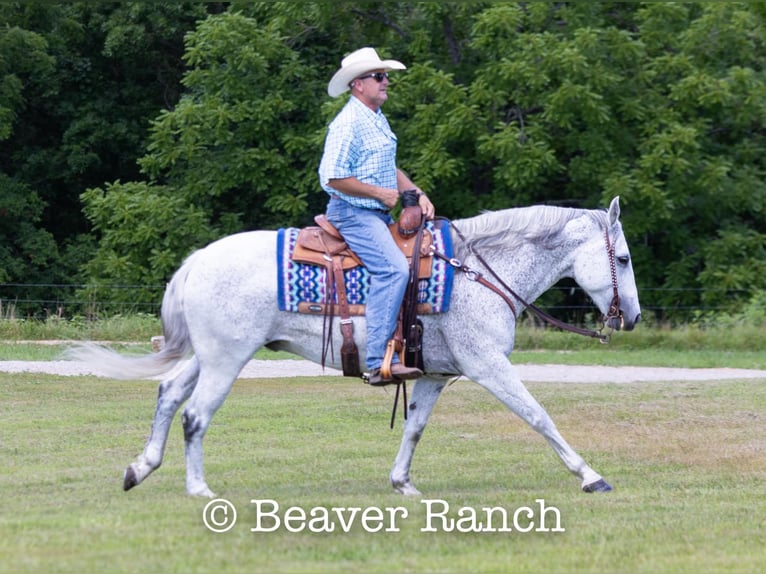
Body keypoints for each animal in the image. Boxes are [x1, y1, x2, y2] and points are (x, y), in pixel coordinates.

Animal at [75, 196, 644, 498]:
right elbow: (538, 415)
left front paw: (402, 482)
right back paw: (199, 490)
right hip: (226, 358)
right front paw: (591, 476)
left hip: (208, 354)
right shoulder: (487, 365)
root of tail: (199, 259)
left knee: (169, 393)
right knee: (195, 414)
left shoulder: (434, 374)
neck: (475, 271)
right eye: (622, 257)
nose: (632, 317)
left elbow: (414, 428)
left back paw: (139, 468)